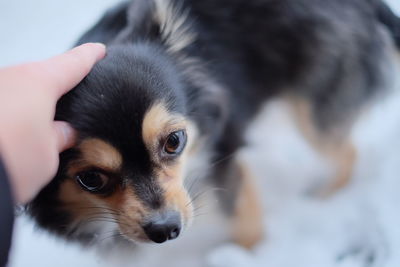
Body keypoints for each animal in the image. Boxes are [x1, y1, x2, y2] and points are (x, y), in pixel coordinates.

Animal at [26, 0, 398, 250]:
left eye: (174, 141)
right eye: (90, 179)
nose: (165, 230)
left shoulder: (225, 161)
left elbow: (247, 228)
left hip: (316, 108)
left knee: (346, 153)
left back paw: (324, 194)